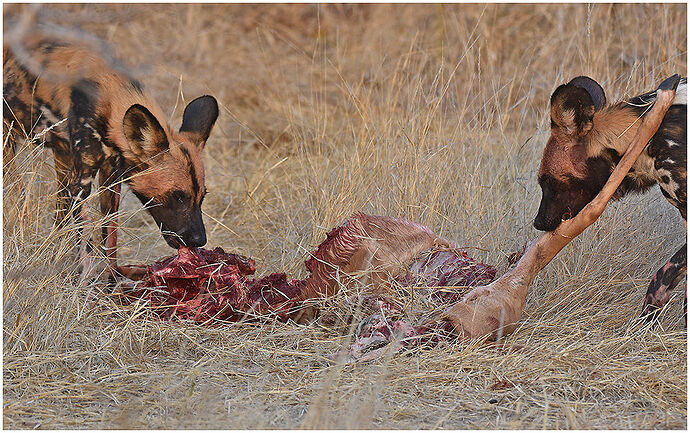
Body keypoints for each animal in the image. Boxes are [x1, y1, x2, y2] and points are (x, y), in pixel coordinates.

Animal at [2, 33, 218, 276]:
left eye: (202, 196)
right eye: (178, 196)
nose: (199, 240)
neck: (109, 94)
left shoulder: (111, 180)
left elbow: (109, 242)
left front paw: (111, 283)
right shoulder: (81, 185)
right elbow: (86, 244)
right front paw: (85, 282)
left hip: (62, 159)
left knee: (59, 215)